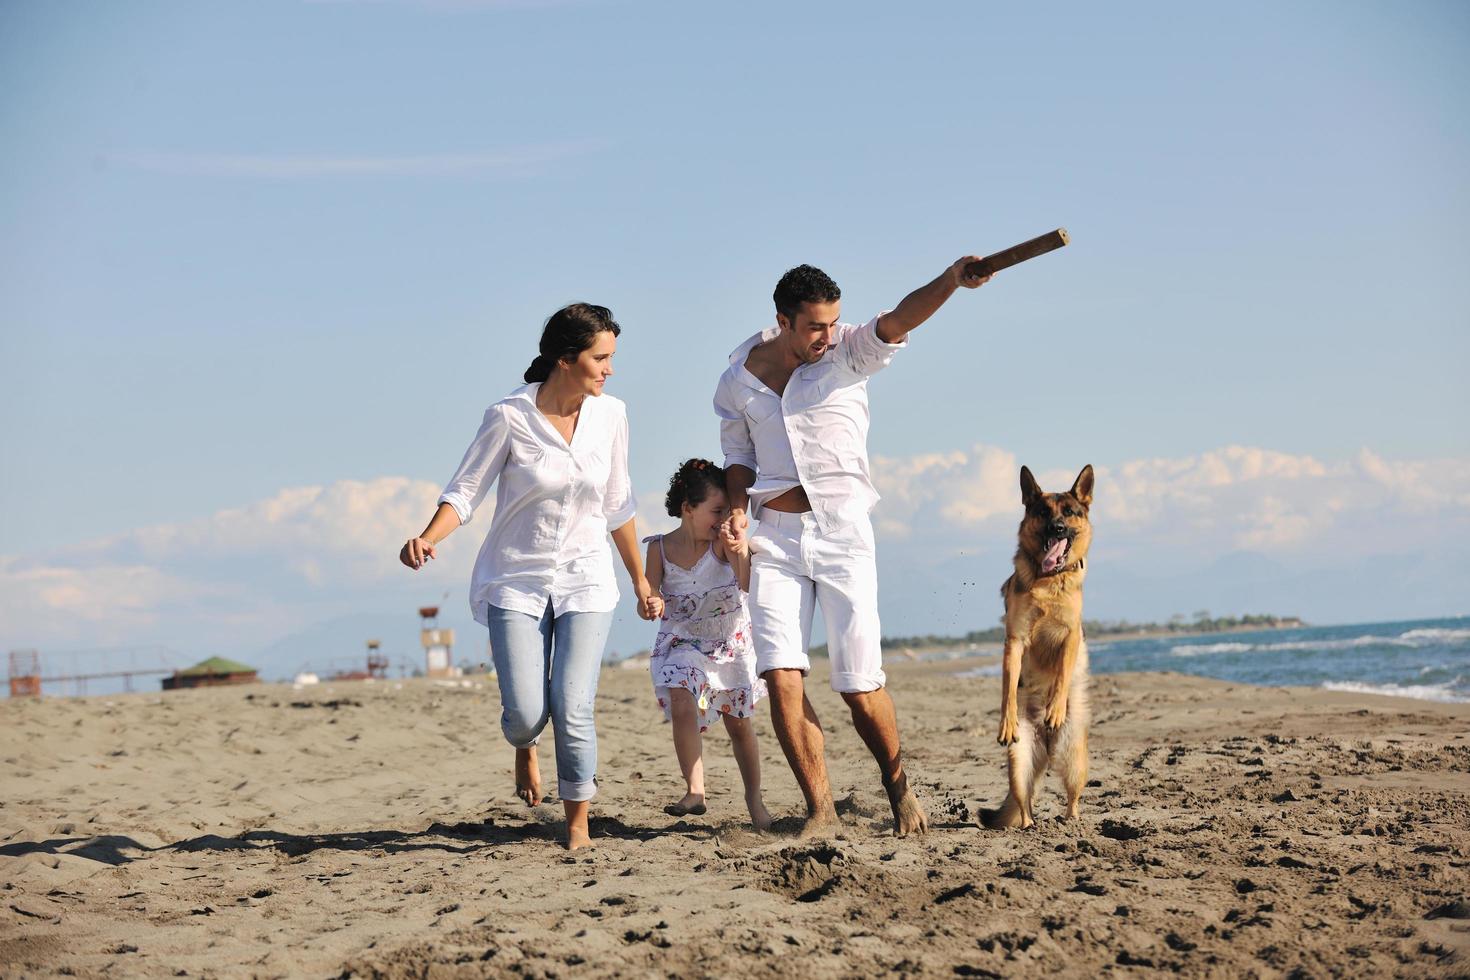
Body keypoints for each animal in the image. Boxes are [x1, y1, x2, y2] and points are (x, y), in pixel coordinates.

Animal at [976, 467, 1093, 828]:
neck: (1048, 580)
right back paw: (1028, 826)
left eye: (1069, 512)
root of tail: (1046, 744)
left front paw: (1055, 708)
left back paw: (1071, 820)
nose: (1057, 528)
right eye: (1043, 512)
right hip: (1018, 763)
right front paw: (1006, 721)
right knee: (1024, 799)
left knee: (1072, 796)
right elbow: (1007, 687)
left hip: (1075, 759)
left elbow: (1062, 675)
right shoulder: (1015, 640)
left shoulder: (1070, 636)